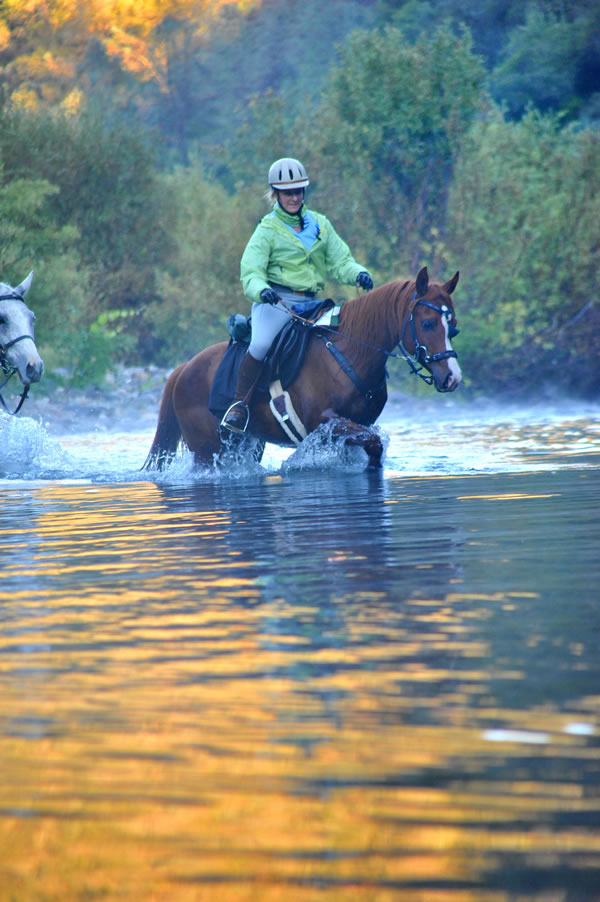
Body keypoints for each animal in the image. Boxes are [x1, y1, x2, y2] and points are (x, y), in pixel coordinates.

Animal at [143, 264, 462, 470]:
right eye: (428, 323)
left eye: (454, 325)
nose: (452, 378)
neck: (349, 351)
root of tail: (184, 368)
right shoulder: (326, 422)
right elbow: (373, 443)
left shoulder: (359, 424)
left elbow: (373, 449)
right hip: (206, 452)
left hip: (245, 445)